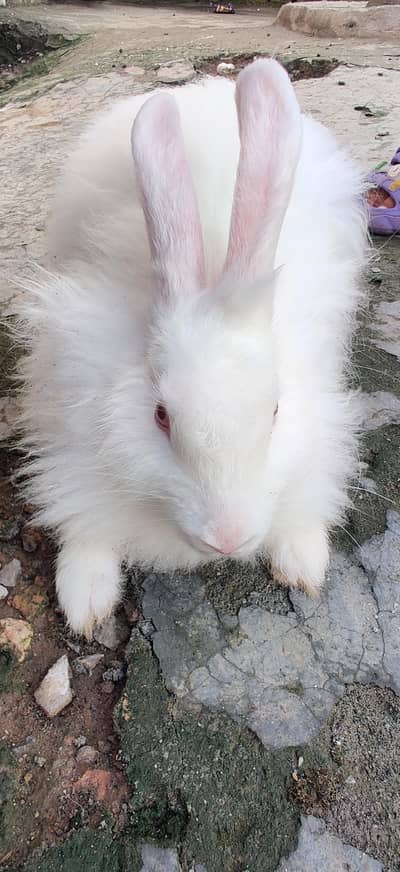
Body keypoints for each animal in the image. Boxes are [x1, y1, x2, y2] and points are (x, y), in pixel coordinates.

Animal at [15, 59, 368, 637]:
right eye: (160, 416)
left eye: (275, 411)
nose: (226, 538)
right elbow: (83, 519)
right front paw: (85, 599)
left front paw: (302, 563)